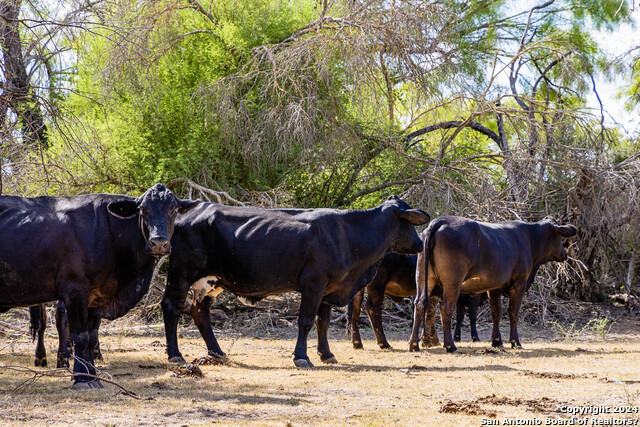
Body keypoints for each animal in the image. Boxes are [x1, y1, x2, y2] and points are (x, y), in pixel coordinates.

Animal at [0, 184, 199, 388]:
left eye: (173, 210)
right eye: (143, 210)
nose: (159, 243)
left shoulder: (96, 297)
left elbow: (91, 337)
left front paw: (94, 378)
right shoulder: (75, 290)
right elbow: (80, 336)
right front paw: (81, 379)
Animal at [162, 196, 430, 368]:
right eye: (409, 222)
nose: (420, 244)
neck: (347, 235)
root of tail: (190, 212)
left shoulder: (329, 288)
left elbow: (323, 322)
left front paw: (327, 354)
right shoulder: (314, 284)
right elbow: (305, 321)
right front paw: (302, 357)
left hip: (211, 281)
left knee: (200, 312)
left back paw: (217, 352)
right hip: (181, 274)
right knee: (172, 307)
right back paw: (175, 355)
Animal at [410, 217, 580, 354]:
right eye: (560, 236)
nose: (565, 253)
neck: (529, 237)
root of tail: (441, 221)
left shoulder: (494, 288)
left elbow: (496, 313)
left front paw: (497, 341)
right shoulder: (519, 283)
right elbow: (513, 313)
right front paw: (515, 342)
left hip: (424, 277)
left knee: (420, 303)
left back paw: (414, 344)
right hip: (453, 281)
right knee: (446, 307)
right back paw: (450, 346)